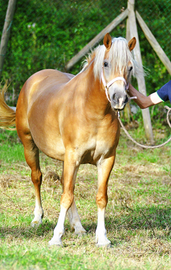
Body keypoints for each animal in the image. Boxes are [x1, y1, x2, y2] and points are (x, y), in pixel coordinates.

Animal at [0, 33, 136, 247]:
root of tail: (33, 79)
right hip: (30, 145)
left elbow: (99, 197)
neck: (92, 111)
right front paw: (56, 237)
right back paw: (37, 218)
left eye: (130, 67)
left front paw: (102, 237)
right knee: (37, 177)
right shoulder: (73, 156)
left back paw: (78, 226)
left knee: (67, 184)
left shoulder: (106, 159)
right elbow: (65, 197)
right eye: (105, 63)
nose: (119, 99)